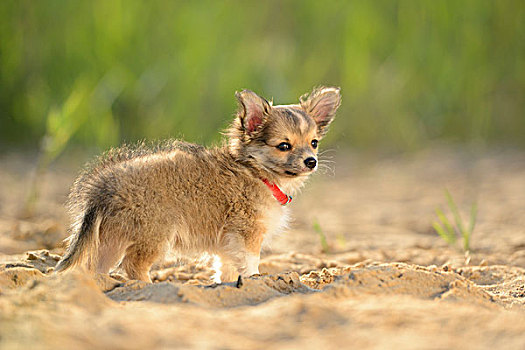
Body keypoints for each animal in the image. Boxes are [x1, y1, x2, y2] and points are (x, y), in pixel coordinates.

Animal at [53, 86, 340, 284]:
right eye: (284, 146)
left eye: (313, 143)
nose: (311, 161)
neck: (258, 173)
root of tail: (101, 186)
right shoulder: (247, 234)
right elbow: (250, 264)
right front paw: (256, 281)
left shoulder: (228, 245)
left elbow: (227, 270)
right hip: (154, 235)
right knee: (133, 266)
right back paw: (150, 286)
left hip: (112, 239)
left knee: (96, 267)